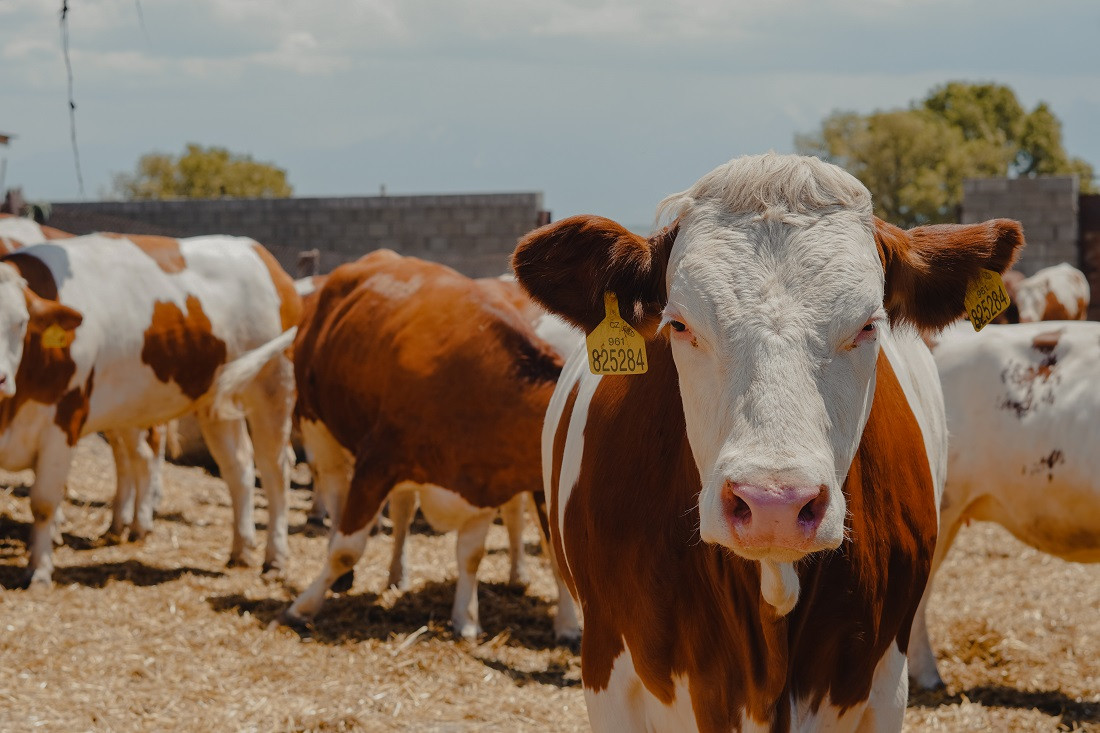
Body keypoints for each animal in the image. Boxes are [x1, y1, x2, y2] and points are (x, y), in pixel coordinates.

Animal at [0, 231, 301, 585]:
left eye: (21, 323)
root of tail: (257, 250)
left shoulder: (64, 422)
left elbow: (44, 503)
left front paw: (40, 570)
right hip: (214, 399)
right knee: (237, 467)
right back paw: (241, 548)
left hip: (273, 384)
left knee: (274, 470)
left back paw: (275, 558)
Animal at [281, 250, 585, 638]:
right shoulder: (377, 462)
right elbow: (346, 549)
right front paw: (303, 606)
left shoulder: (485, 482)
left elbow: (471, 554)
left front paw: (466, 619)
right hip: (320, 429)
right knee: (335, 495)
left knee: (402, 514)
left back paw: (398, 573)